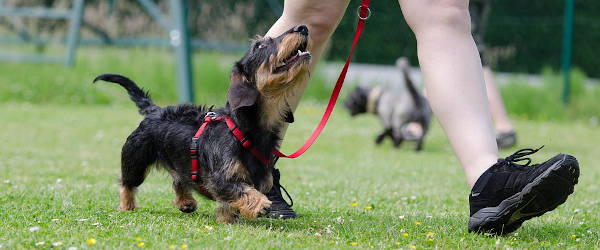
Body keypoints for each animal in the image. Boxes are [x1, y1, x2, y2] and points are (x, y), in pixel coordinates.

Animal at [92, 24, 314, 224]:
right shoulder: (219, 179)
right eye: (260, 46)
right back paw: (127, 206)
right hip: (135, 160)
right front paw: (260, 204)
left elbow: (231, 201)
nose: (302, 27)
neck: (244, 129)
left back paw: (186, 202)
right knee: (127, 183)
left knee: (179, 180)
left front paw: (227, 218)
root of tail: (155, 110)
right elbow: (241, 190)